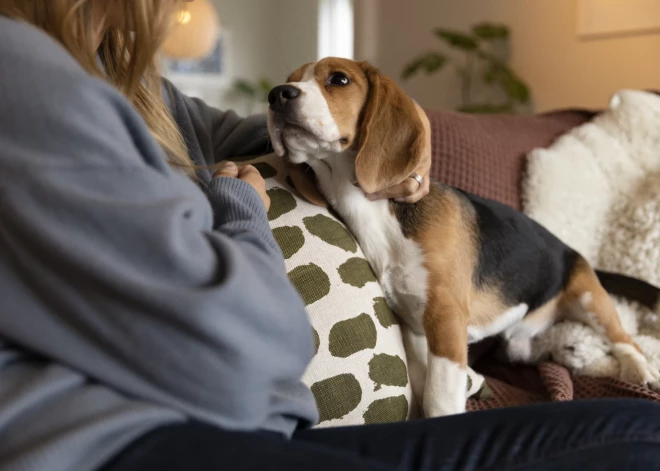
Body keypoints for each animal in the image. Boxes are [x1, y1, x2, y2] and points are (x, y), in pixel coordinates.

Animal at [266, 58, 660, 416]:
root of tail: (572, 251)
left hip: (589, 298)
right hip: (519, 341)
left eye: (339, 79)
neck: (374, 212)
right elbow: (422, 381)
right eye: (290, 79)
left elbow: (439, 395)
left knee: (623, 338)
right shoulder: (412, 324)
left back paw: (638, 369)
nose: (276, 94)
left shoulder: (445, 317)